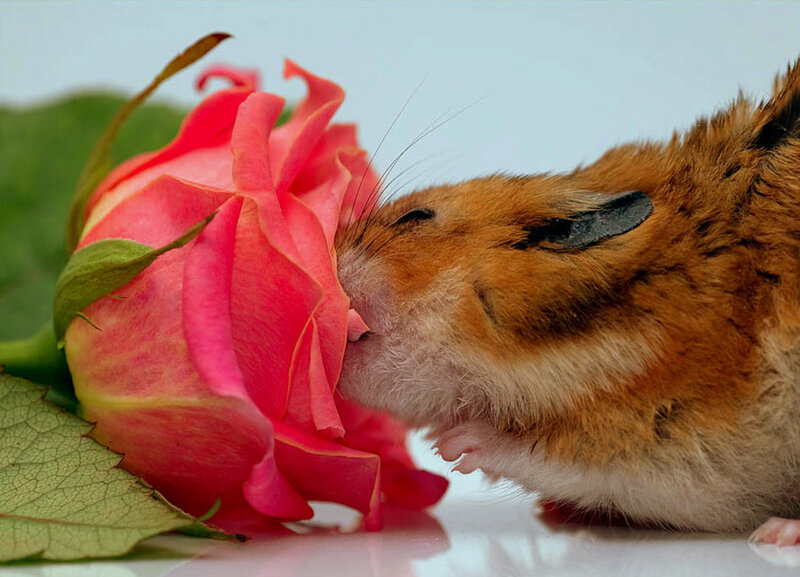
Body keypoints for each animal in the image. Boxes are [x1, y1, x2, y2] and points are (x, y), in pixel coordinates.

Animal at [334, 59, 800, 545]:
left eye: (416, 217)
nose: (327, 255)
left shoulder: (663, 438)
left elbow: (551, 455)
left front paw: (453, 446)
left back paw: (777, 533)